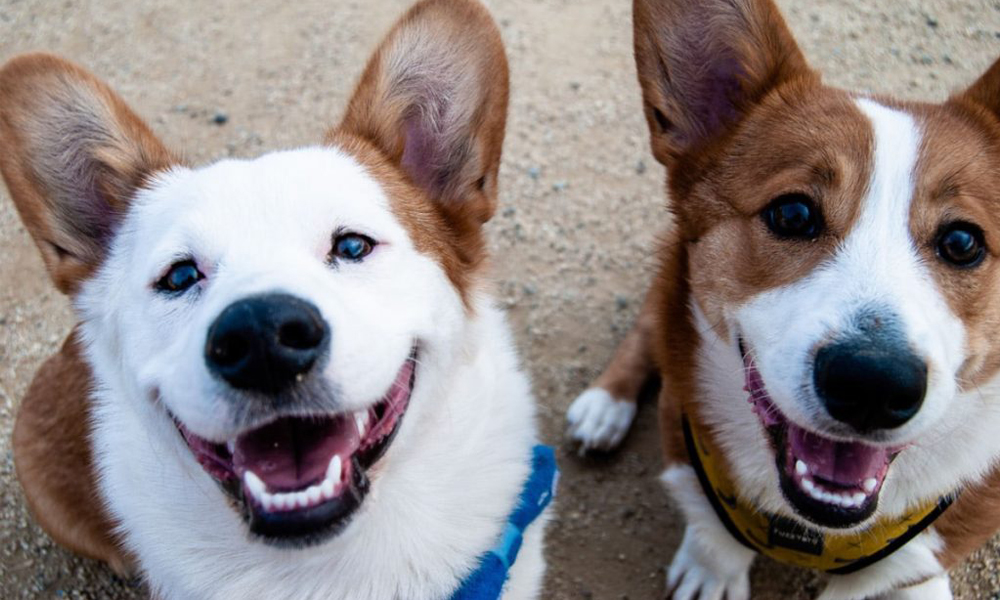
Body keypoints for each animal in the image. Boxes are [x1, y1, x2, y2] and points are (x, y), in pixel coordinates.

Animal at [568, 1, 1000, 600]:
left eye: (962, 242)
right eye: (793, 214)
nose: (873, 384)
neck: (816, 531)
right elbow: (712, 528)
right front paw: (712, 568)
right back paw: (605, 406)